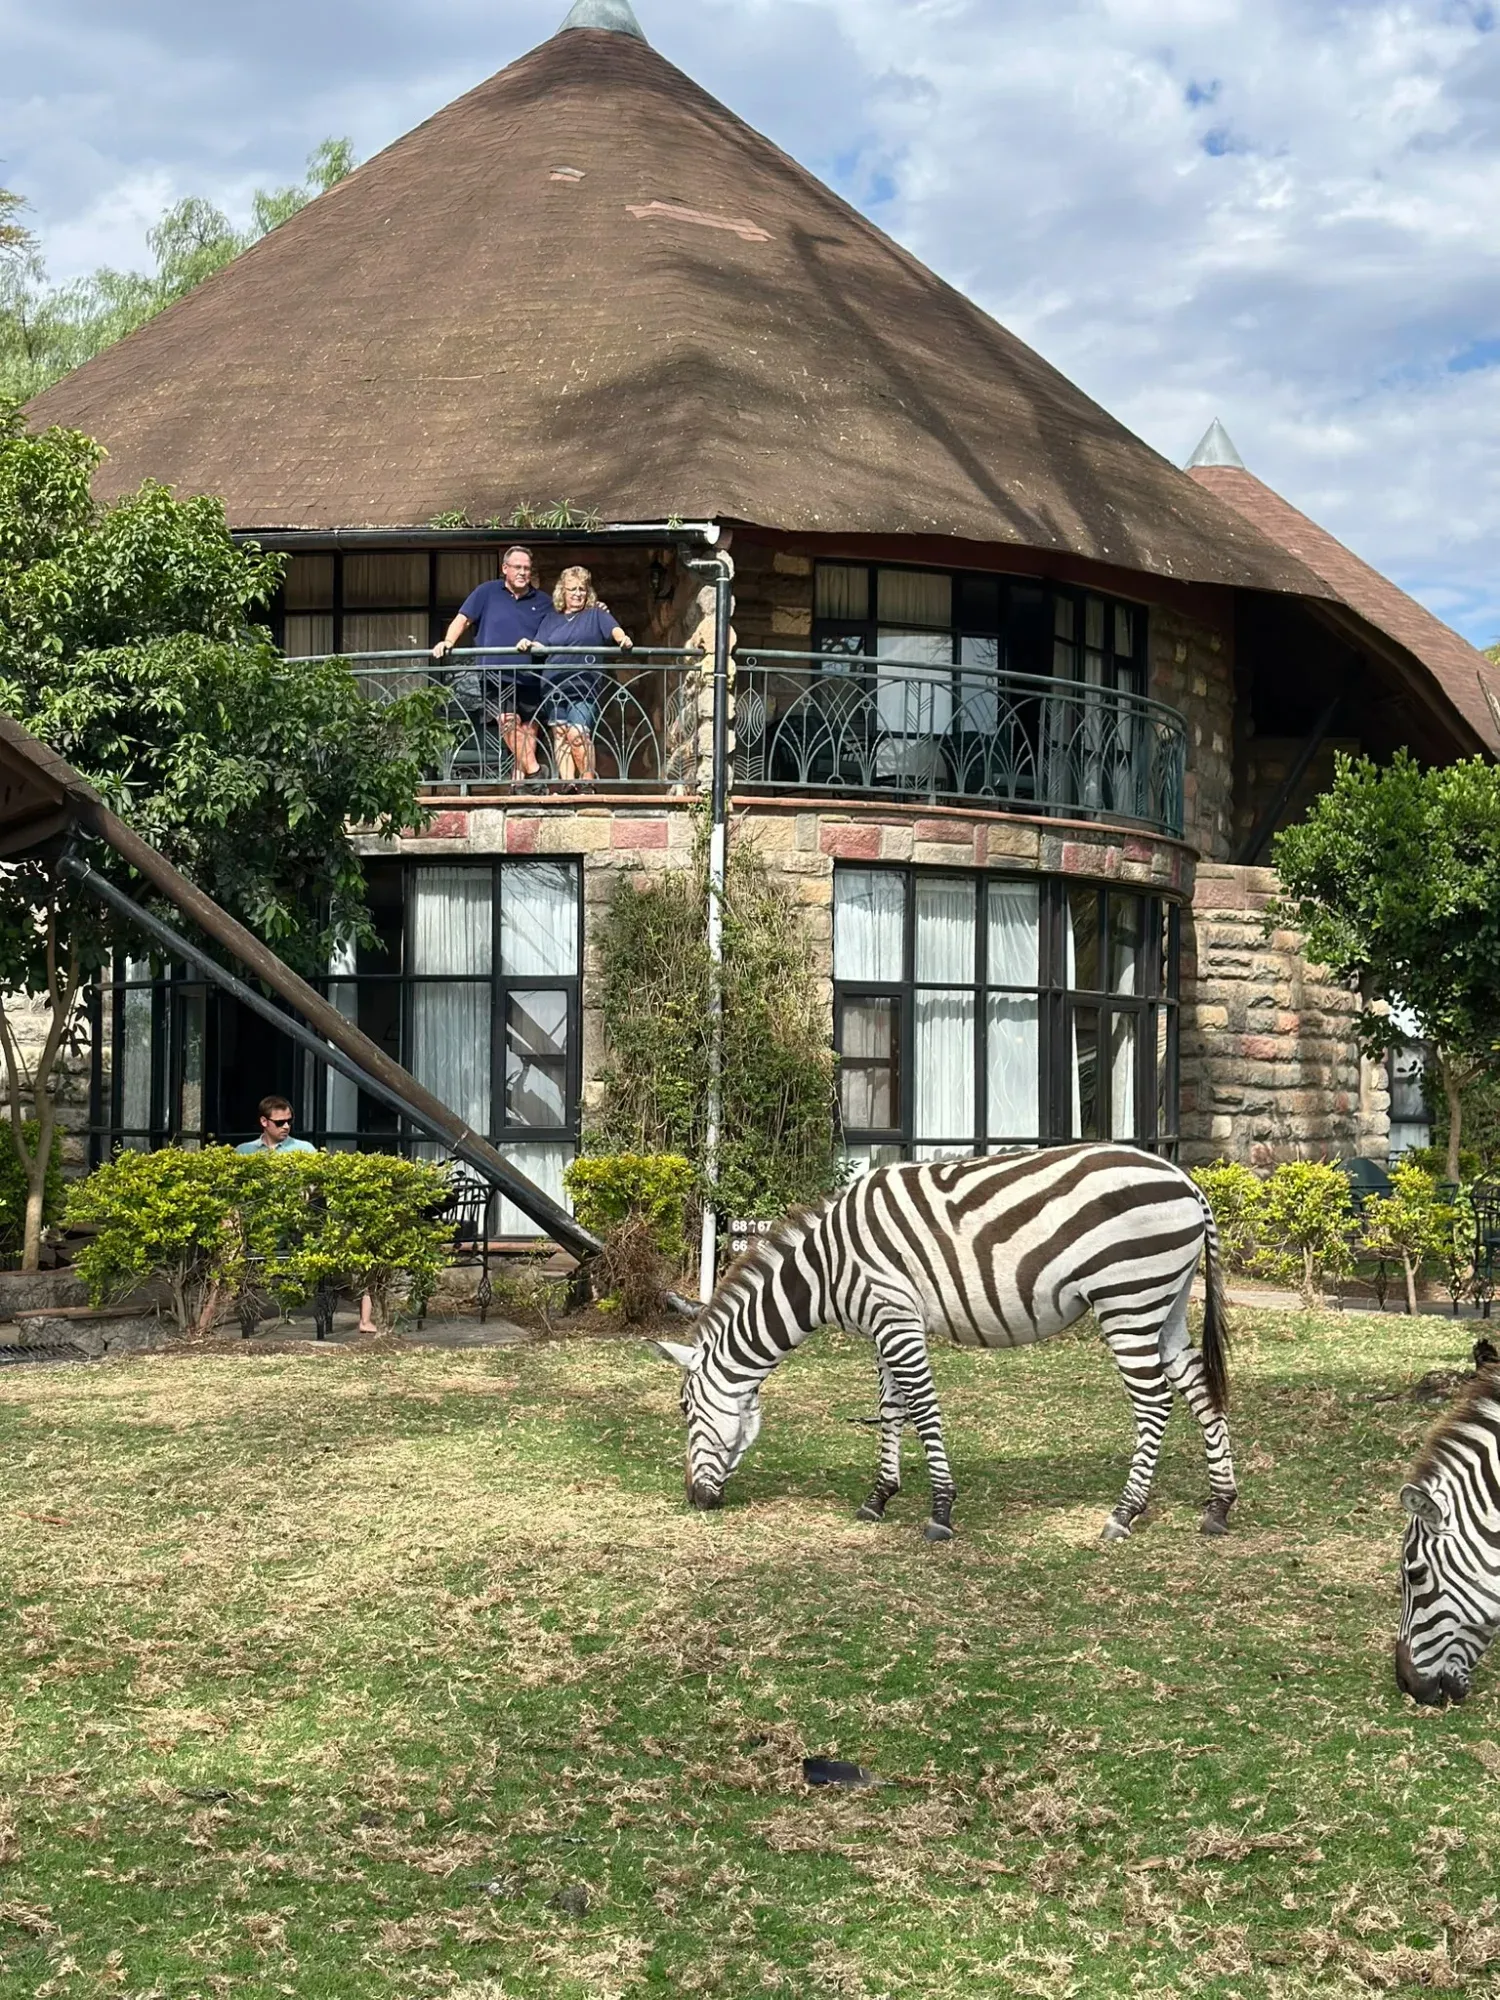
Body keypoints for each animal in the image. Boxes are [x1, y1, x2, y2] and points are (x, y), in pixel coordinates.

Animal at [653, 1143, 1236, 1542]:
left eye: (685, 1410)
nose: (694, 1500)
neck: (824, 1271)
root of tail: (1187, 1182)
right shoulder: (883, 1325)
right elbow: (890, 1410)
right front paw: (878, 1498)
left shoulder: (896, 1319)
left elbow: (922, 1409)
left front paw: (940, 1510)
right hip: (1166, 1305)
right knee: (1201, 1392)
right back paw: (1219, 1506)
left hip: (1127, 1299)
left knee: (1155, 1403)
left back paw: (1124, 1513)